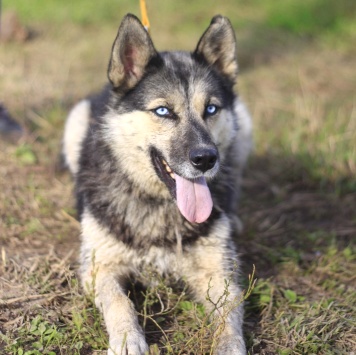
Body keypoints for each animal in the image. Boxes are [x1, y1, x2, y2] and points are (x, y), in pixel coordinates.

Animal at [63, 12, 253, 354]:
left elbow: (229, 318)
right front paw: (128, 338)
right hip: (74, 121)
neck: (161, 204)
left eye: (211, 109)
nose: (206, 159)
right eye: (163, 111)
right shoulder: (100, 267)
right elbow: (119, 302)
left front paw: (229, 346)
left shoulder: (220, 271)